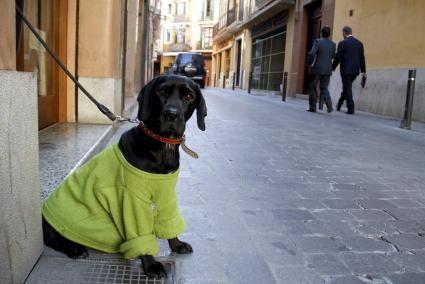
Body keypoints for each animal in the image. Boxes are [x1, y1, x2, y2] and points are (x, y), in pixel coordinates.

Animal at [42, 75, 207, 278]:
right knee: (51, 238)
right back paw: (74, 248)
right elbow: (139, 233)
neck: (162, 147)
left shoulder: (166, 193)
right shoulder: (132, 199)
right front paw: (151, 264)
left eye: (188, 96)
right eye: (161, 92)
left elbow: (169, 221)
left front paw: (176, 245)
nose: (172, 114)